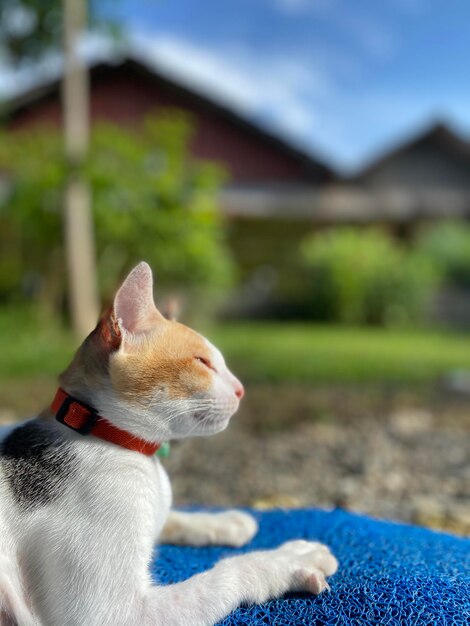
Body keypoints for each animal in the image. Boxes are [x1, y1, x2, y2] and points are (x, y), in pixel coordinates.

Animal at [0, 262, 338, 624]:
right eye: (202, 362)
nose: (241, 389)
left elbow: (171, 516)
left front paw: (224, 522)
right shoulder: (114, 614)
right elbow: (227, 573)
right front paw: (289, 558)